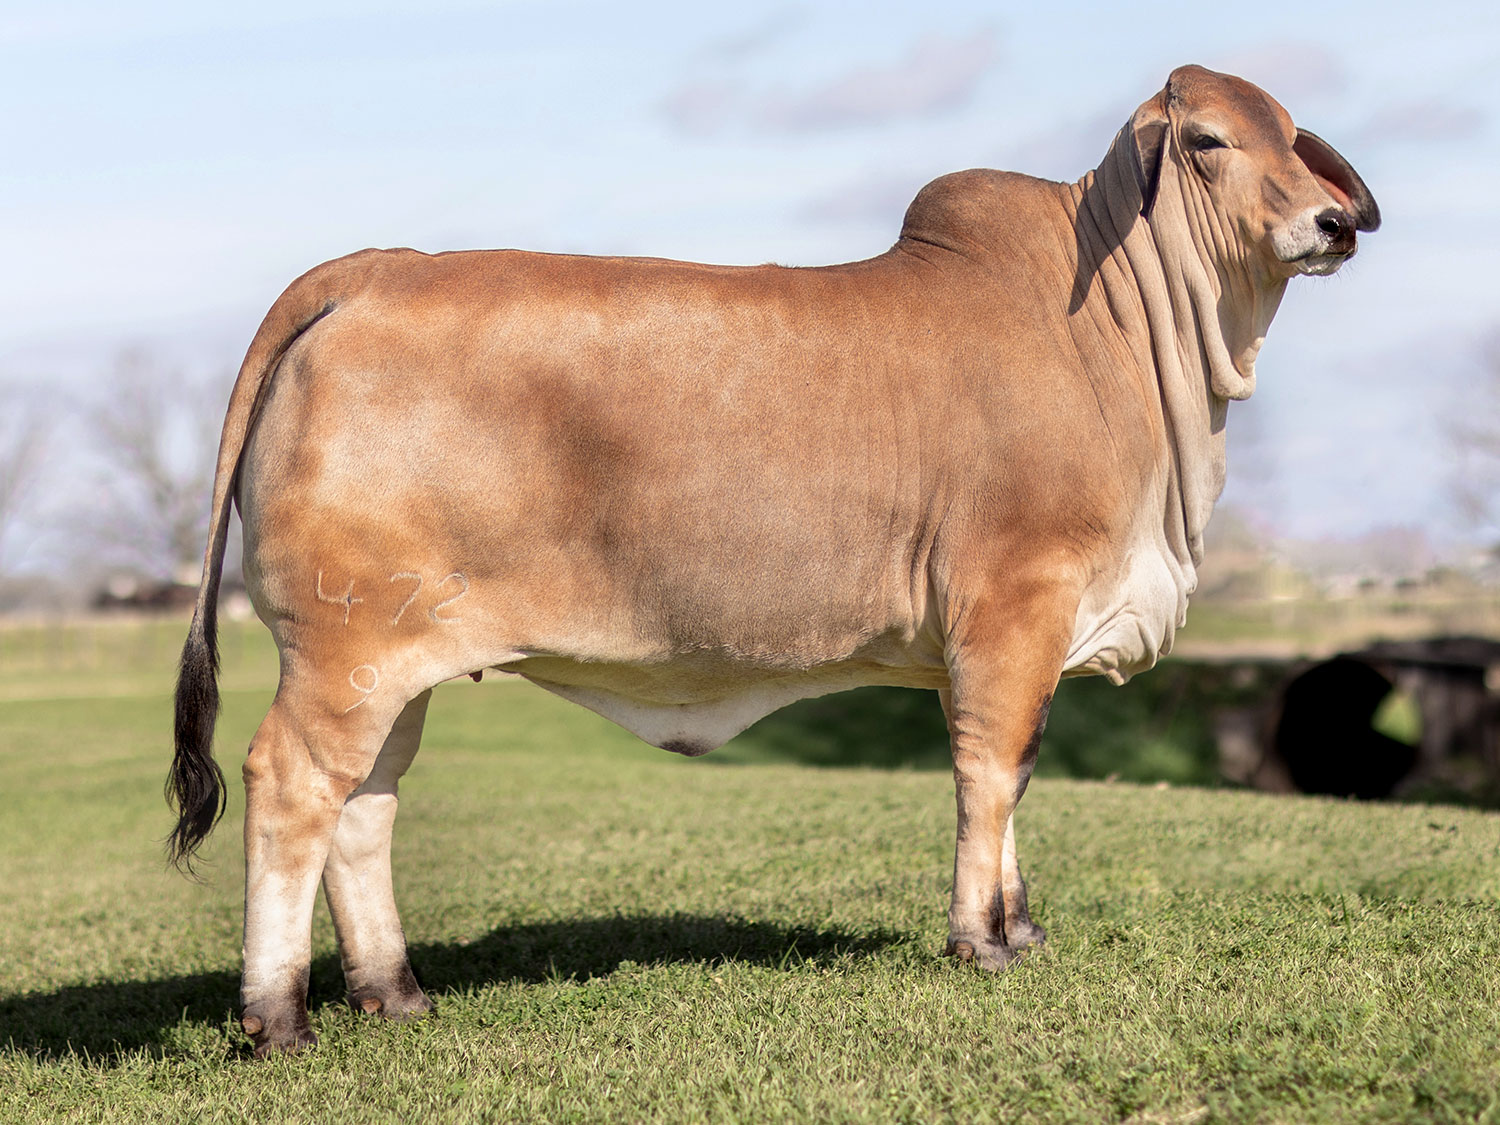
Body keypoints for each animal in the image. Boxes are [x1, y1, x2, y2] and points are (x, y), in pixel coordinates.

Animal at [167, 66, 1380, 1056]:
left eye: (1292, 137)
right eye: (1208, 140)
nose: (1332, 222)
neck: (1118, 343)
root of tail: (365, 271)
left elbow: (1021, 773)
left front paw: (1022, 926)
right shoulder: (1013, 605)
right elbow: (994, 771)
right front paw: (982, 940)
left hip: (398, 662)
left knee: (365, 805)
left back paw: (395, 991)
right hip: (343, 649)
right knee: (291, 787)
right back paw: (277, 1016)